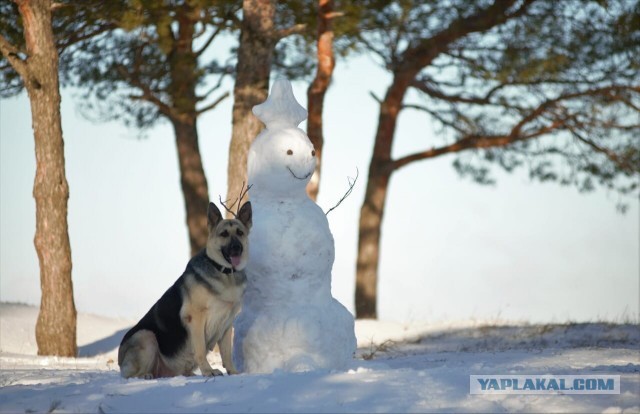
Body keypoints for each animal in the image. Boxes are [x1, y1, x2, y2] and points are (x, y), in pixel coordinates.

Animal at [119, 201, 251, 378]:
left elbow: (226, 352)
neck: (225, 273)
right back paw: (145, 375)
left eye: (240, 233)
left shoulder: (227, 324)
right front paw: (208, 371)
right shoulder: (196, 318)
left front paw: (232, 371)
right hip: (147, 336)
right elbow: (200, 349)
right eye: (224, 234)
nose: (236, 247)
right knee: (131, 374)